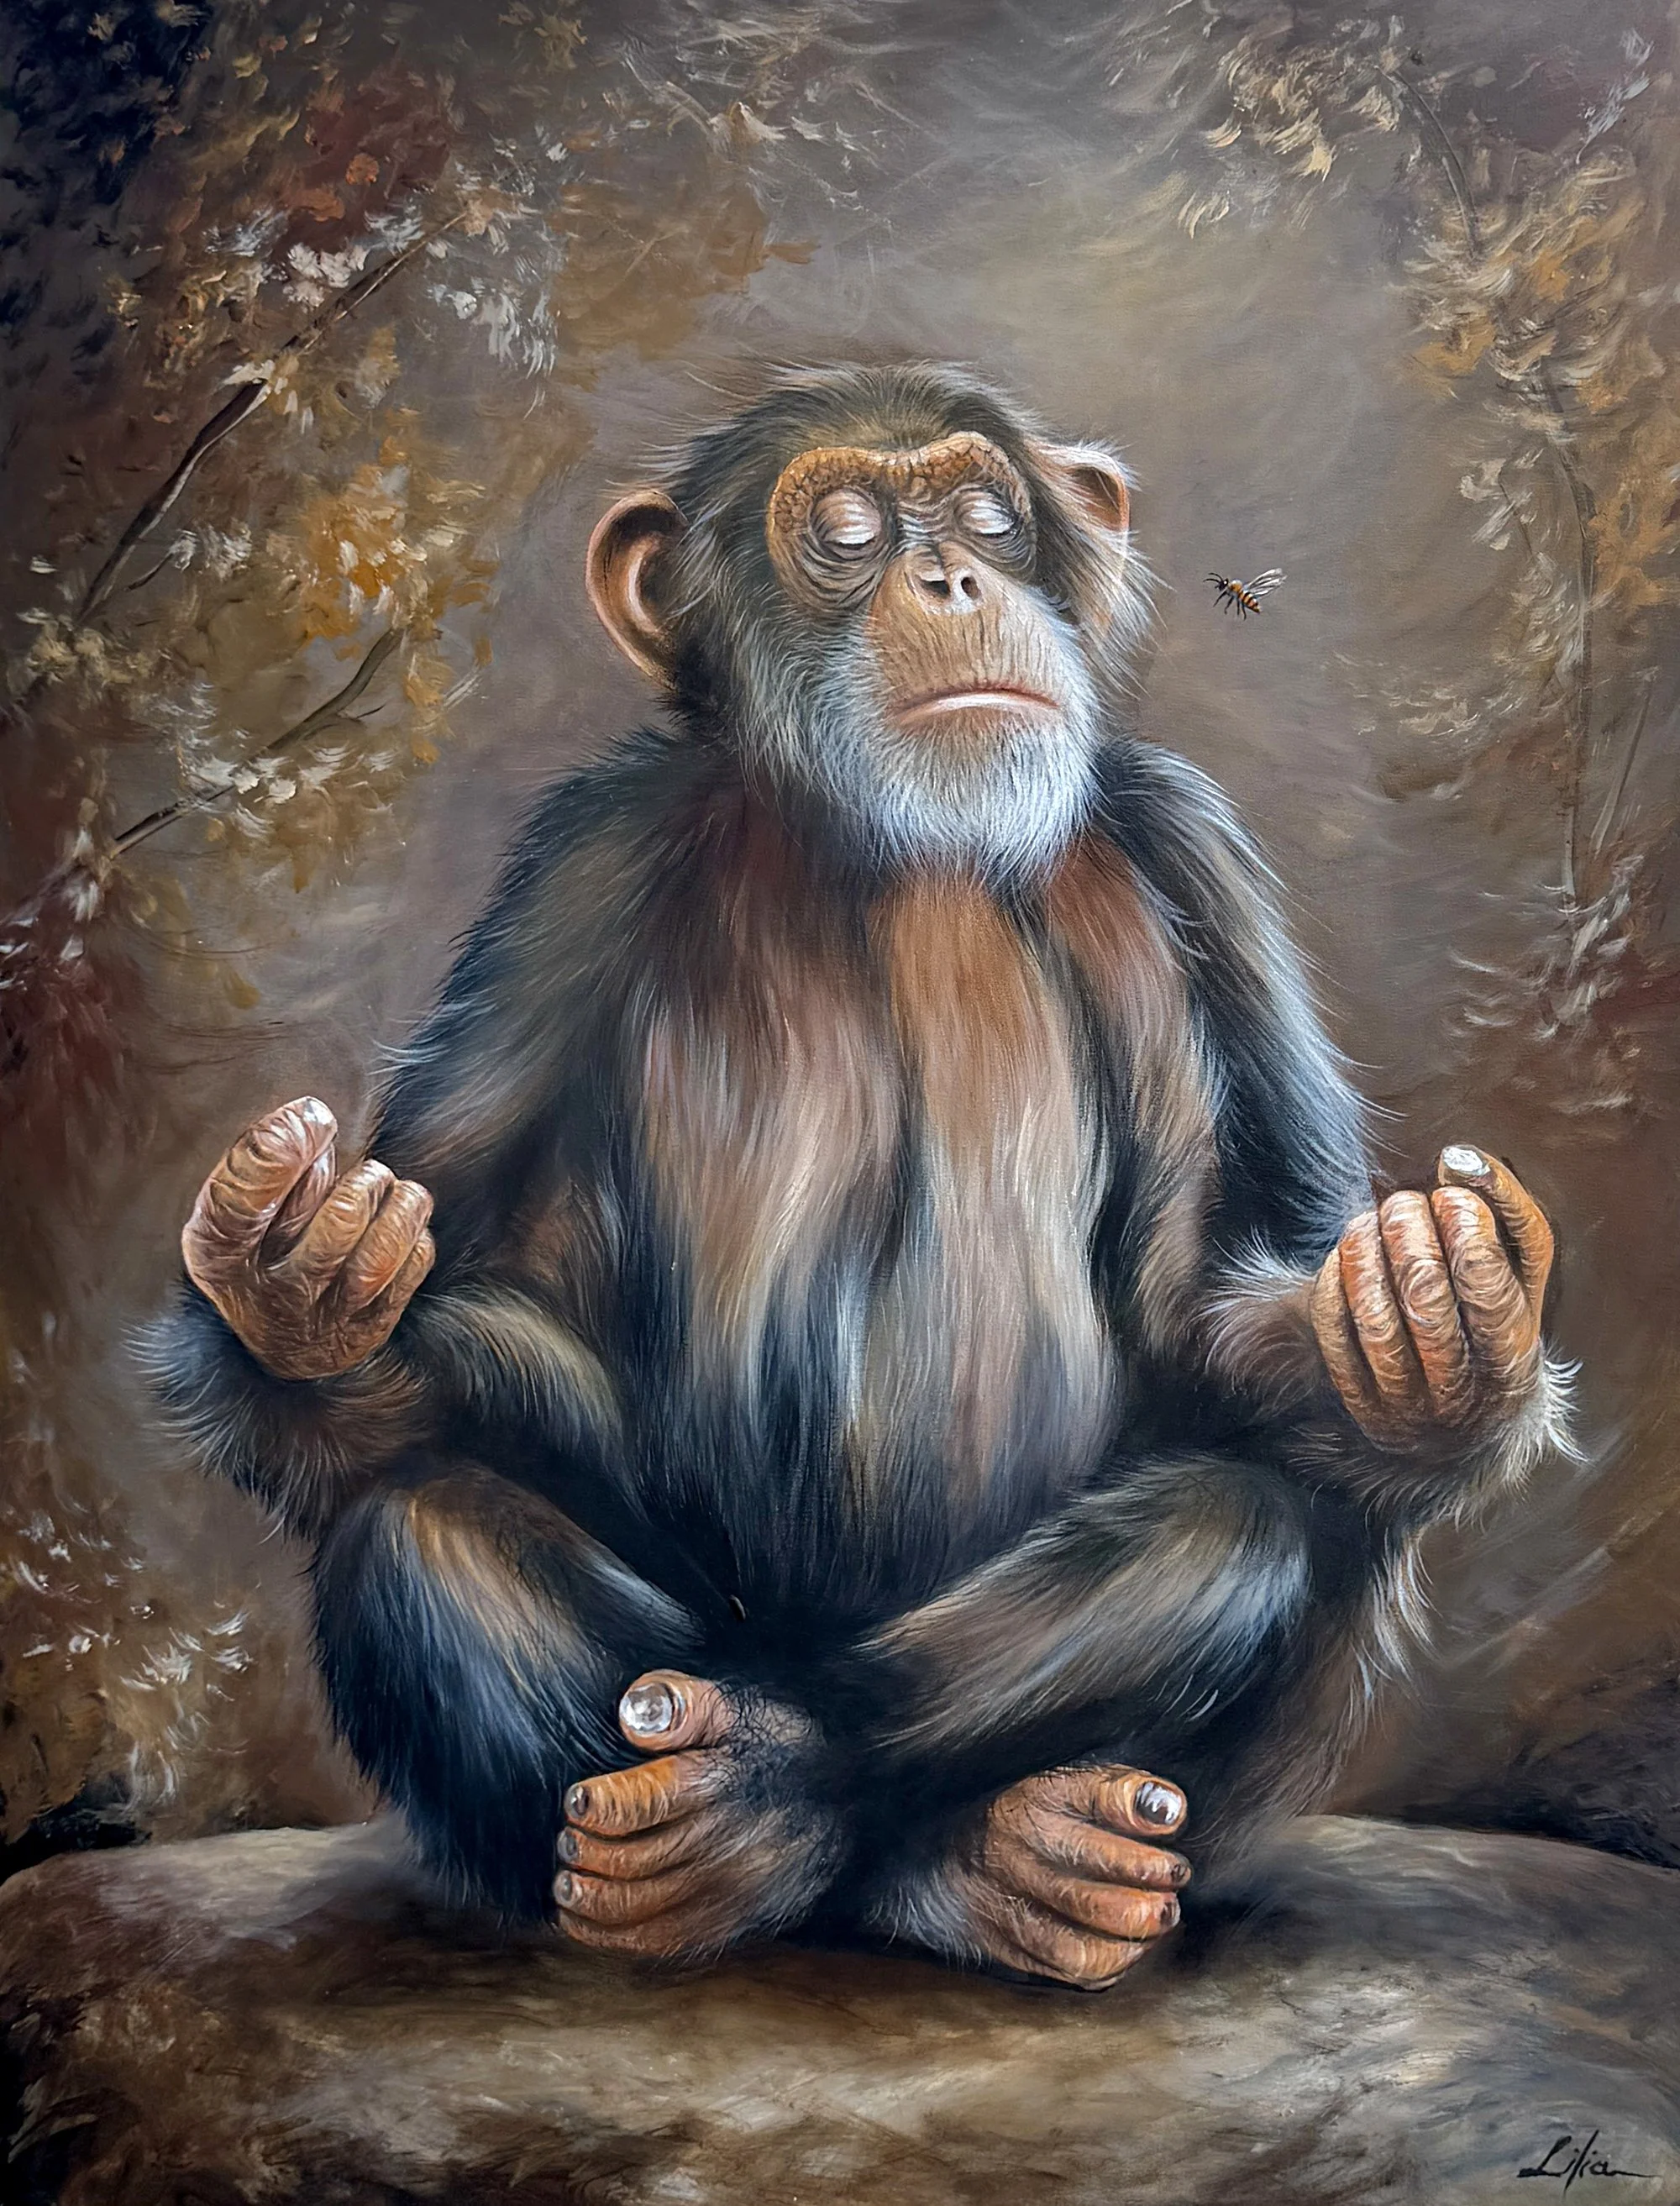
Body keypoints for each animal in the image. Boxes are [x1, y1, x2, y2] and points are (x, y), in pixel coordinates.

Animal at [148, 365, 1573, 1993]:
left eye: (986, 515)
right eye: (844, 529)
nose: (951, 578)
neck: (900, 840)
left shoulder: (1197, 848)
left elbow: (1227, 1307)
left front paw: (1435, 1332)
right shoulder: (575, 869)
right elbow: (450, 1292)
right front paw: (299, 1291)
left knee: (1240, 1531)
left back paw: (944, 1846)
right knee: (419, 1534)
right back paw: (731, 1847)